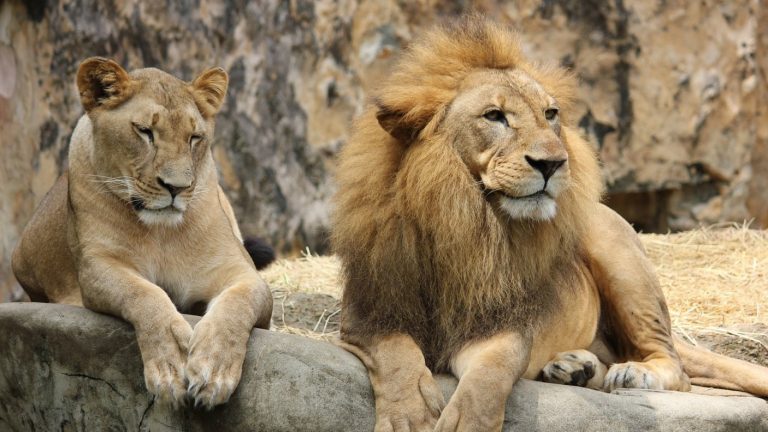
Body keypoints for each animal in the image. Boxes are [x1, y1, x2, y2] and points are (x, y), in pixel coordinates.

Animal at [11, 58, 273, 409]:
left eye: (195, 137)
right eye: (145, 131)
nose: (176, 187)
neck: (162, 233)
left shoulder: (241, 272)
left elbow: (238, 304)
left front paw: (214, 369)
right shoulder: (97, 266)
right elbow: (144, 293)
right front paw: (171, 363)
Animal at [332, 17, 768, 432]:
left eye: (550, 114)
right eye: (495, 116)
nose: (553, 163)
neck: (466, 222)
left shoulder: (503, 327)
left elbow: (485, 383)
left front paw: (465, 422)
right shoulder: (369, 315)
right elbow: (398, 356)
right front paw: (408, 416)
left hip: (618, 253)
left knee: (675, 367)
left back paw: (632, 373)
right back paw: (575, 368)